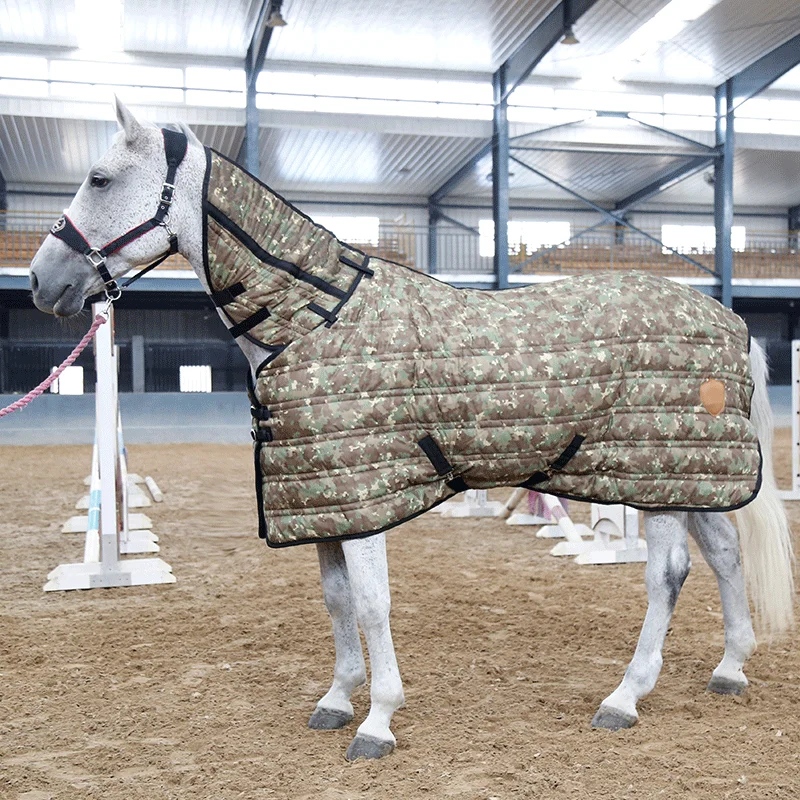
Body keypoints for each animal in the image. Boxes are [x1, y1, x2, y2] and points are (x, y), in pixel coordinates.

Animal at [29, 98, 795, 761]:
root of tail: (729, 318)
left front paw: (378, 721)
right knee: (726, 556)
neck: (315, 319)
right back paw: (730, 667)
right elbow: (337, 601)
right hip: (688, 475)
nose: (42, 281)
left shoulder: (364, 502)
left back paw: (624, 697)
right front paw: (339, 697)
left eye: (101, 178)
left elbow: (371, 605)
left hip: (655, 477)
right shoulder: (326, 501)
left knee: (668, 574)